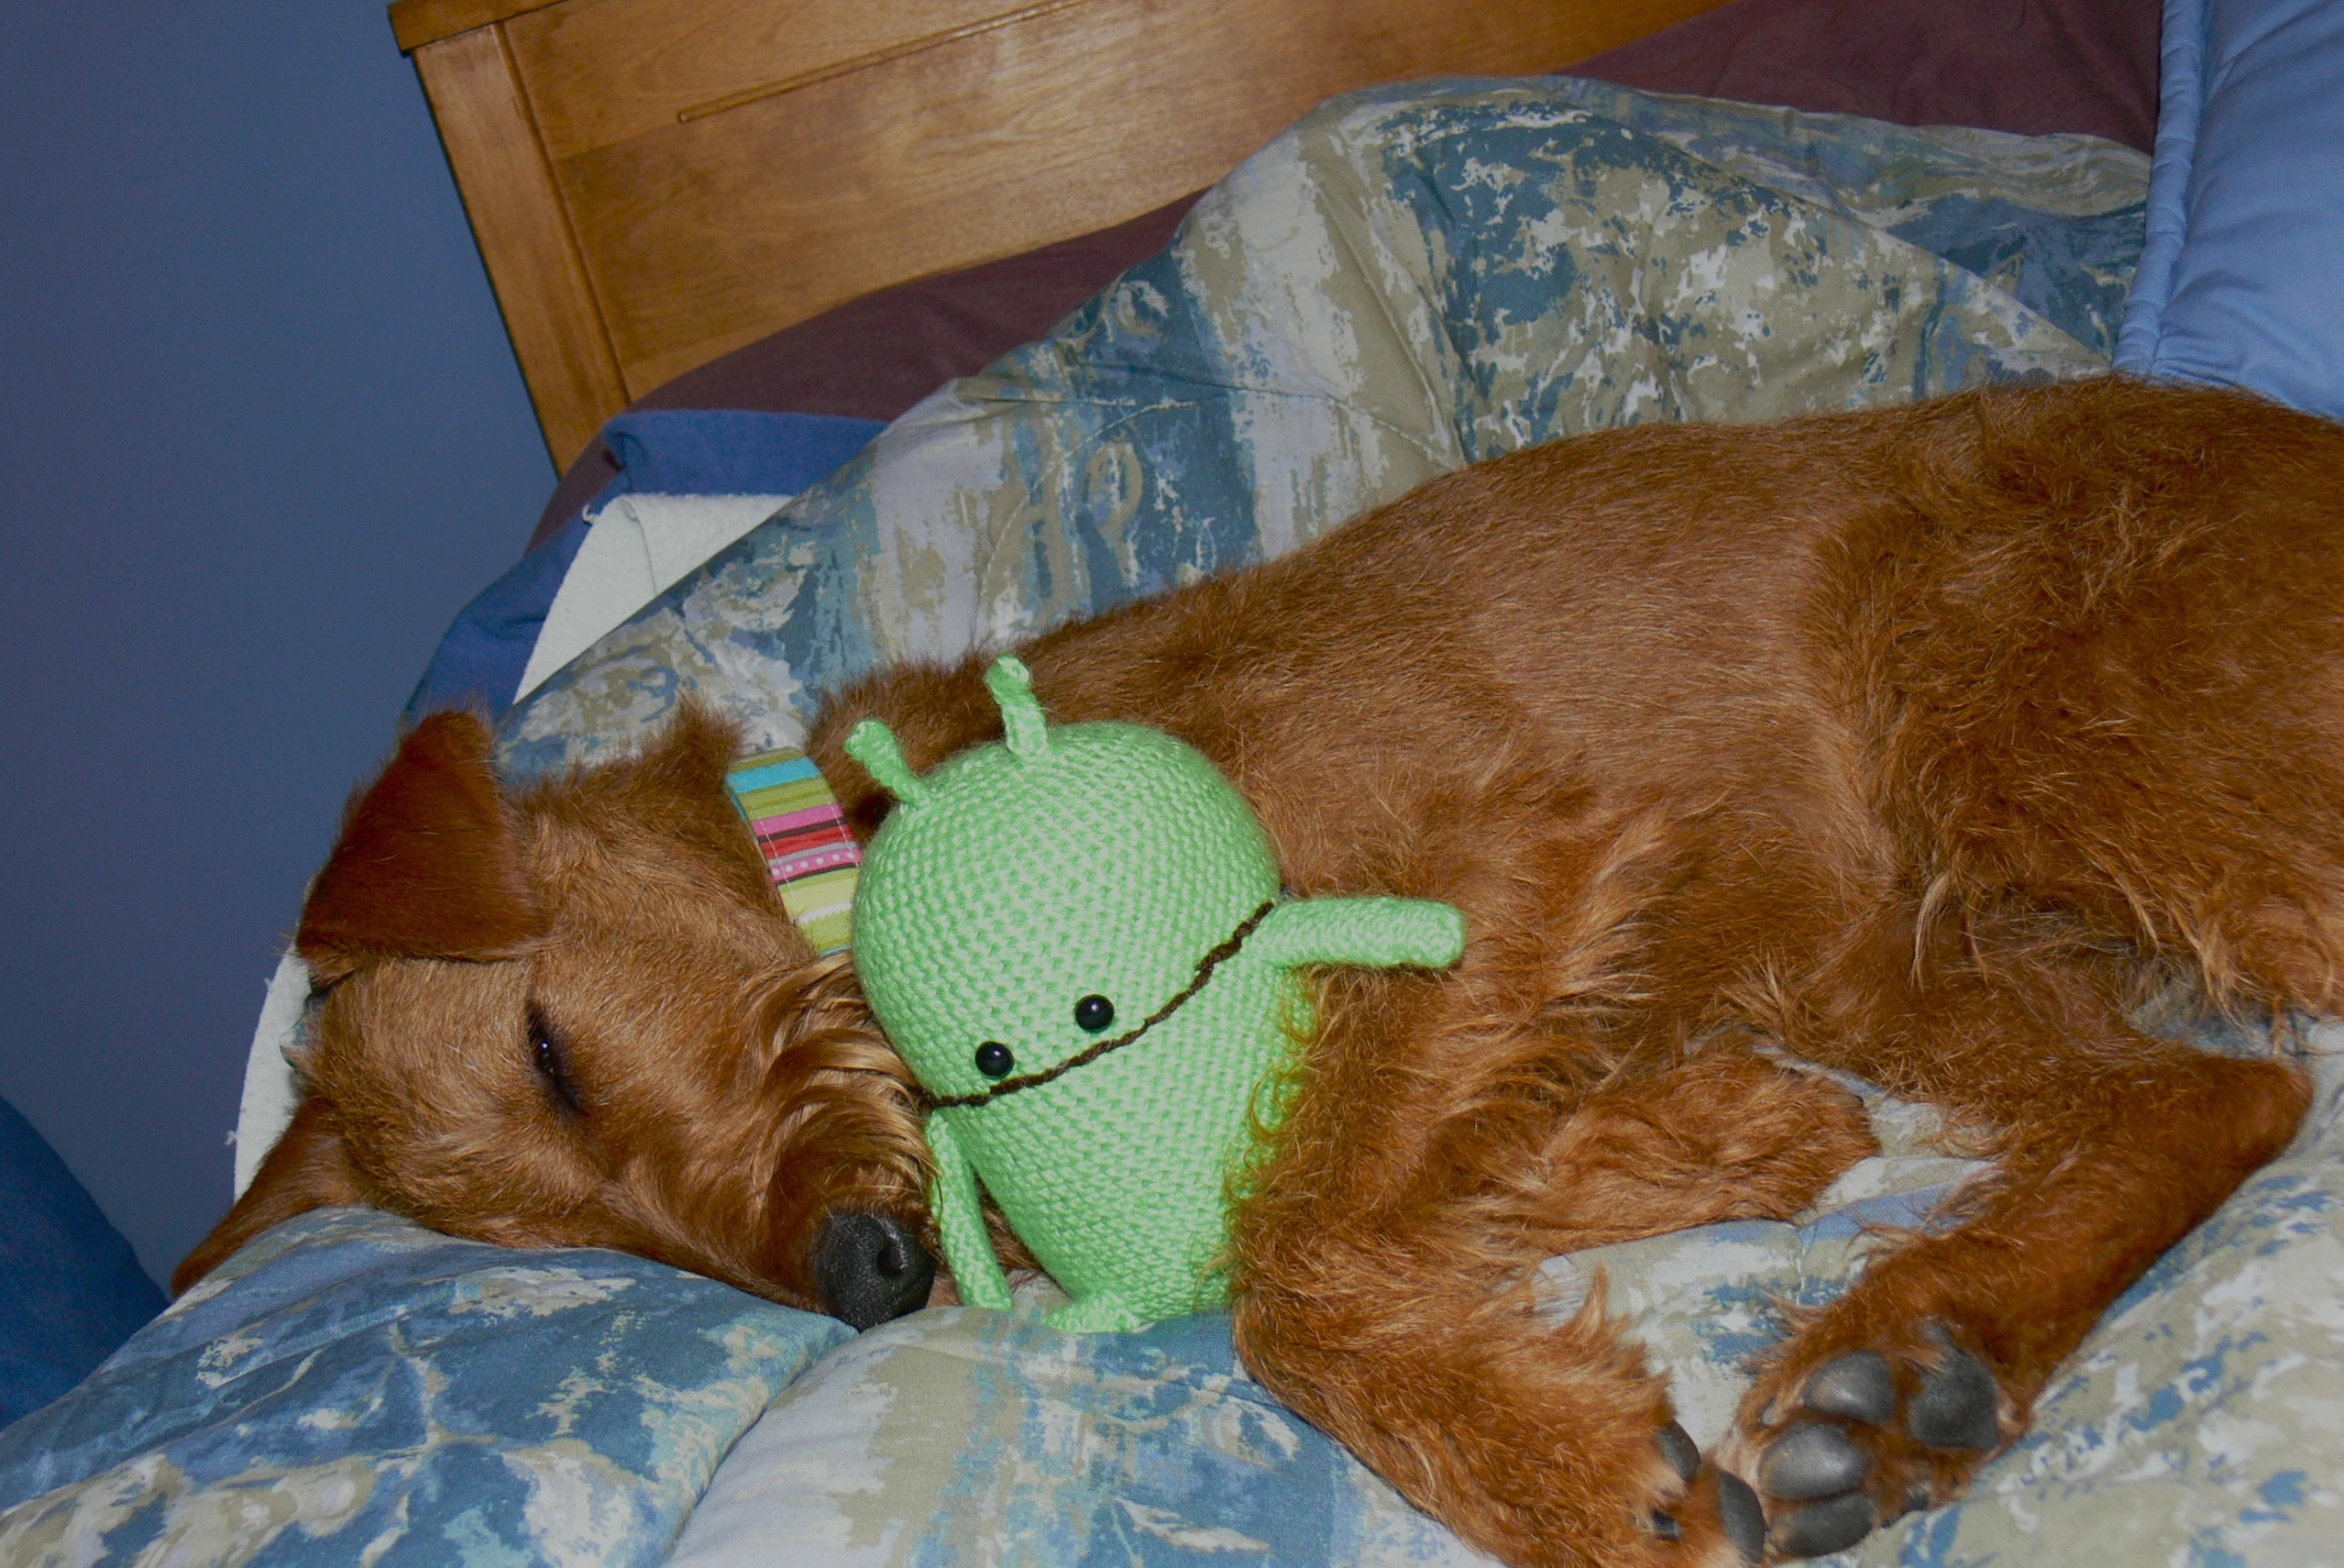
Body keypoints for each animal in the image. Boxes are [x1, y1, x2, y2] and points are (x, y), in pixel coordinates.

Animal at [187, 382, 2344, 1565]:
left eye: (551, 1046)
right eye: (586, 1240)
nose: (861, 1279)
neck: (885, 828)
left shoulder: (1506, 853)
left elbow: (1283, 1268)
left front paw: (1574, 1481)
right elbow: (1395, 1173)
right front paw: (1724, 1139)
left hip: (2032, 723)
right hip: (1908, 927)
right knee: (2216, 1089)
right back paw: (1915, 1368)